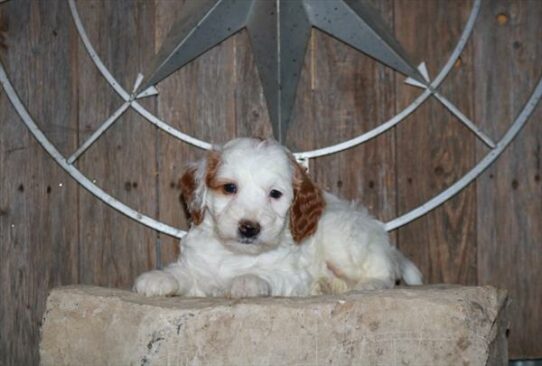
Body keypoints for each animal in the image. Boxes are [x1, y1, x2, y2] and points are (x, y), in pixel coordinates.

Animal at [134, 138, 422, 298]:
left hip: (346, 240)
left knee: (383, 273)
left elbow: (267, 275)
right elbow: (181, 273)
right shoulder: (196, 267)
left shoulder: (292, 276)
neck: (235, 255)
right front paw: (158, 279)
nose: (249, 228)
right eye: (229, 188)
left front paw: (247, 281)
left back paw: (369, 285)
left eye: (275, 194)